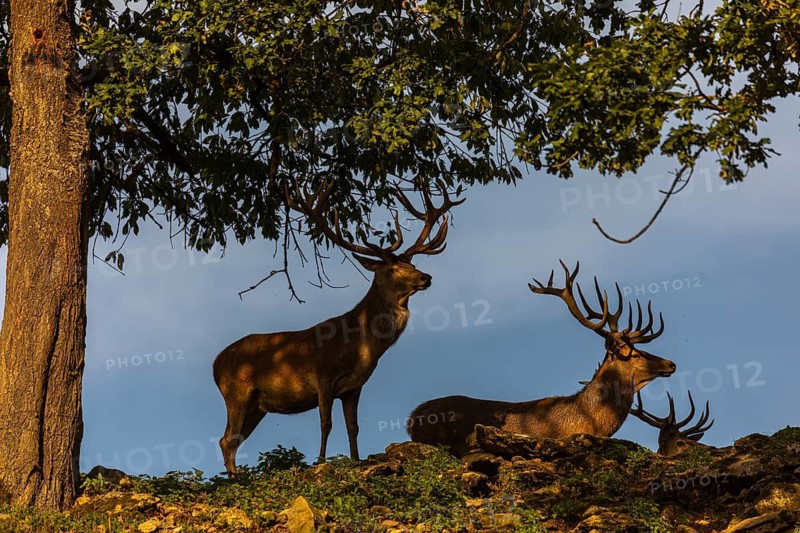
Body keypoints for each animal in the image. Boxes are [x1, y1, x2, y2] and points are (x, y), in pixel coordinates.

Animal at [213, 180, 464, 474]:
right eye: (392, 270)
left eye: (412, 264)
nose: (426, 277)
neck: (359, 346)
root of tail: (215, 365)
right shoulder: (324, 377)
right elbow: (326, 423)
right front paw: (321, 462)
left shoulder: (354, 388)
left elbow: (352, 427)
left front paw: (355, 461)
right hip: (236, 392)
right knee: (227, 440)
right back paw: (235, 478)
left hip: (257, 405)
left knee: (231, 439)